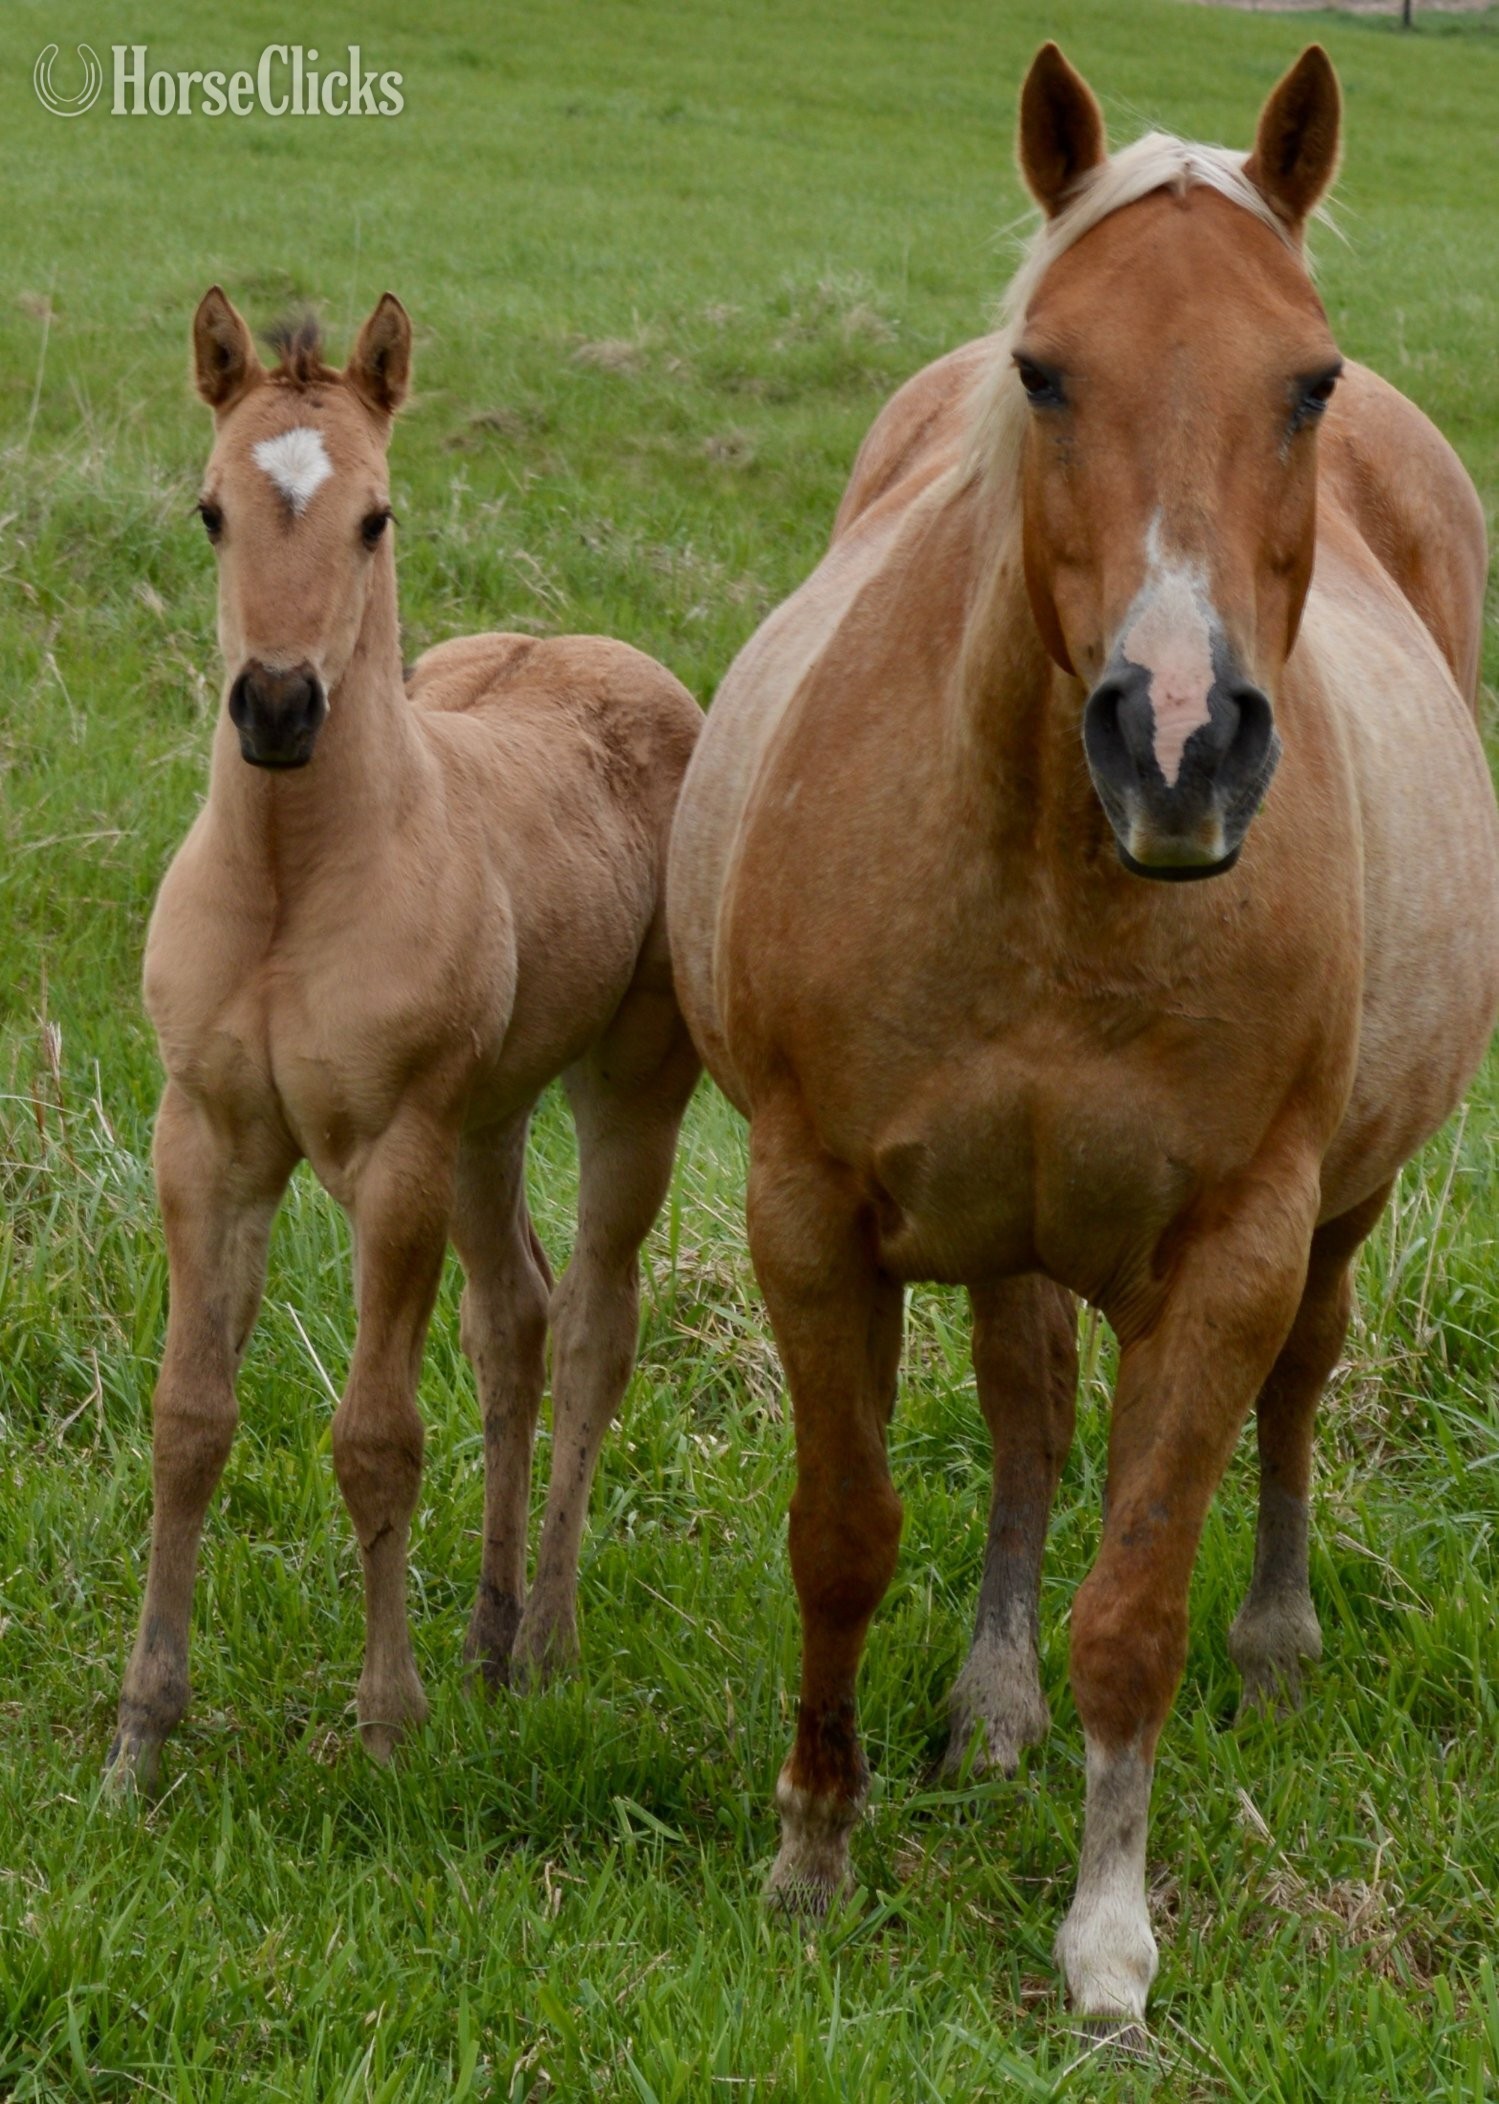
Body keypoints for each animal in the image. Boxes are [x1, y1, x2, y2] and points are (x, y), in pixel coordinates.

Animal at [108, 289, 701, 1786]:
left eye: (375, 517)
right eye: (210, 510)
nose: (275, 709)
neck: (290, 882)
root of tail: (615, 656)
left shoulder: (394, 1155)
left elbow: (376, 1435)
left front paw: (386, 1727)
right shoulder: (205, 1141)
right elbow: (187, 1421)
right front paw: (142, 1735)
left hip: (624, 1087)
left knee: (594, 1326)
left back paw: (540, 1645)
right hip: (489, 1119)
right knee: (515, 1322)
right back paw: (487, 1634)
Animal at [667, 44, 1499, 2029]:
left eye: (1306, 381)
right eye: (1042, 370)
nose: (1176, 739)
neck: (1060, 872)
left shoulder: (1228, 1254)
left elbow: (1134, 1598)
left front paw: (1106, 1936)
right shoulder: (811, 1218)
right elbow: (843, 1536)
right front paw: (810, 1856)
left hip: (1332, 1216)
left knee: (1295, 1391)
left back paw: (1271, 1643)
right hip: (1002, 1220)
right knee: (1027, 1412)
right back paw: (989, 1702)